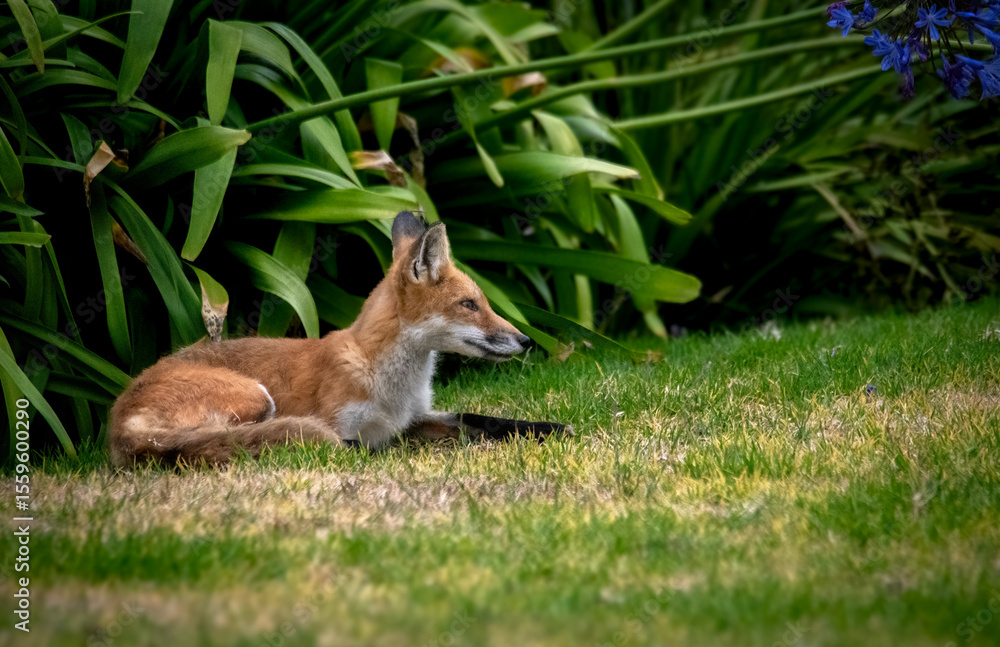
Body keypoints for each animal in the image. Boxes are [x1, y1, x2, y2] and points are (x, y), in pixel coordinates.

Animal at [109, 211, 568, 466]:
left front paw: (549, 428)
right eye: (469, 304)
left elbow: (482, 419)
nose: (525, 340)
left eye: (482, 302)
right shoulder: (344, 424)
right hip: (256, 397)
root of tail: (118, 423)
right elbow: (355, 443)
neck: (392, 386)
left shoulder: (416, 417)